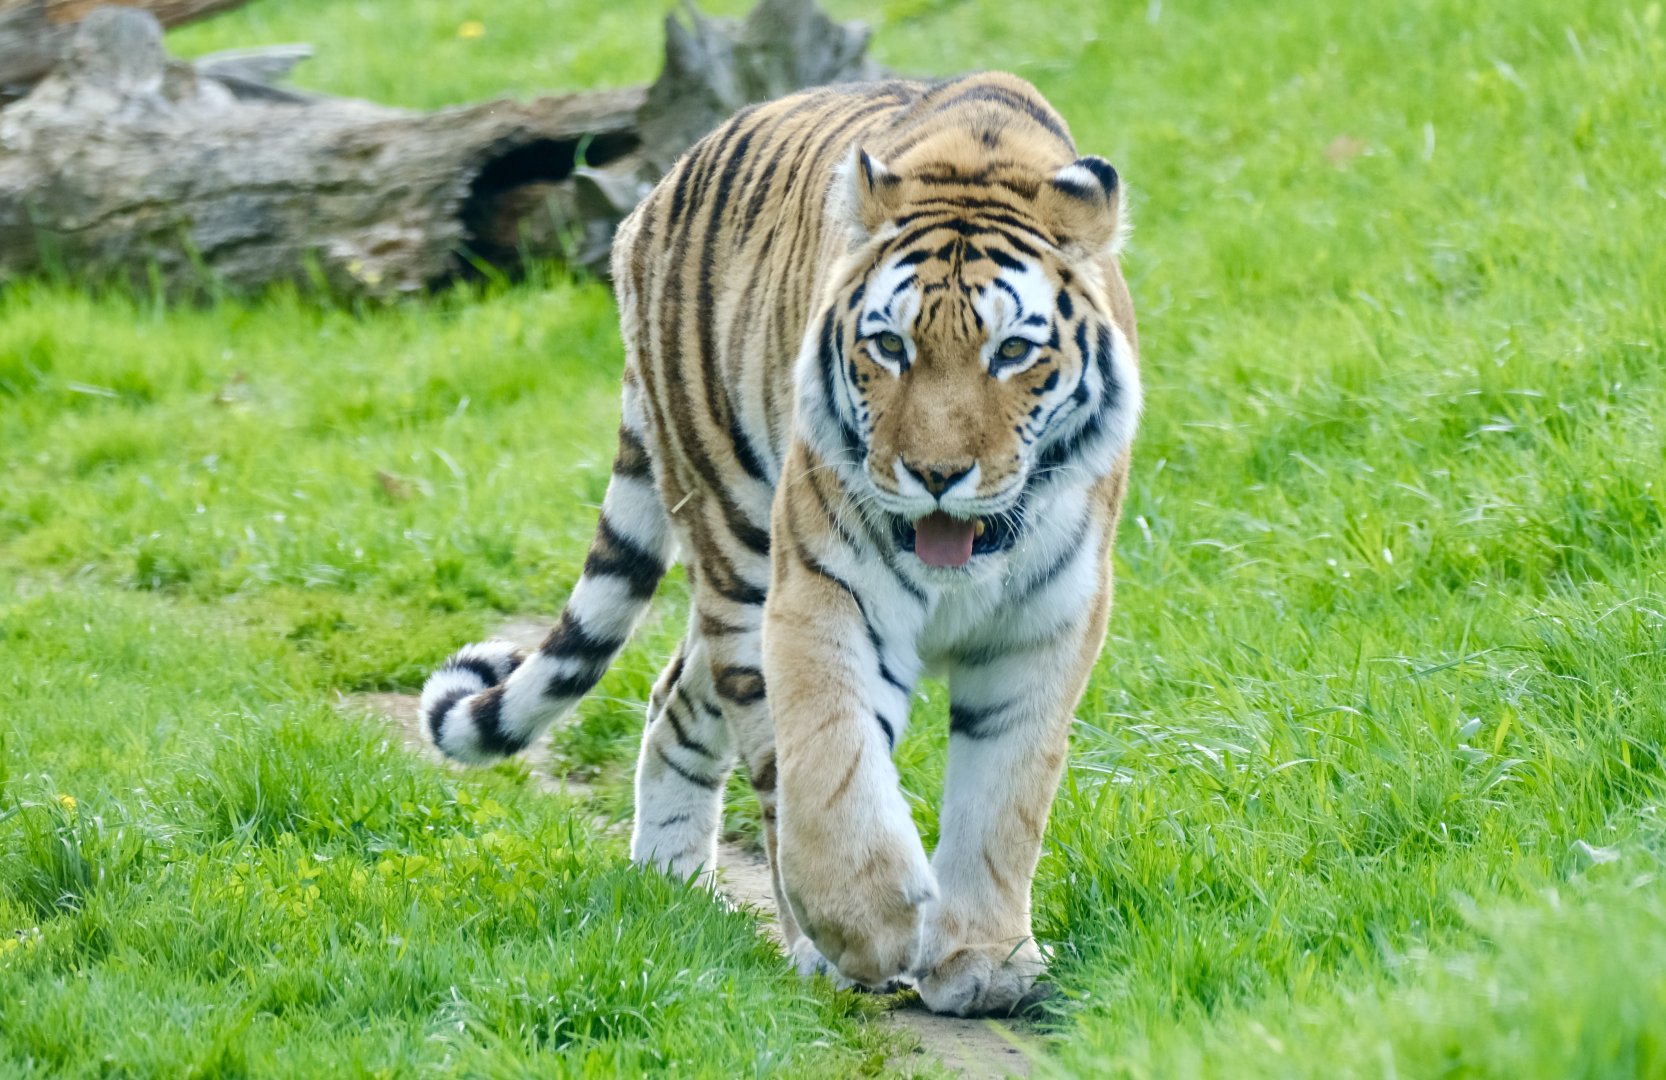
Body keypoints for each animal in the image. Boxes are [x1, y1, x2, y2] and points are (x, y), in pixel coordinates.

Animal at [417, 71, 1141, 1017]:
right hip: (735, 542)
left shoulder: (1048, 621)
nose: (935, 475)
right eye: (890, 345)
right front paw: (871, 928)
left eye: (1013, 351)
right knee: (759, 748)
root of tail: (652, 196)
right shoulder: (825, 592)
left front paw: (983, 962)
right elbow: (831, 766)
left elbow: (1006, 796)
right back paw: (799, 939)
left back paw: (667, 884)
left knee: (672, 695)